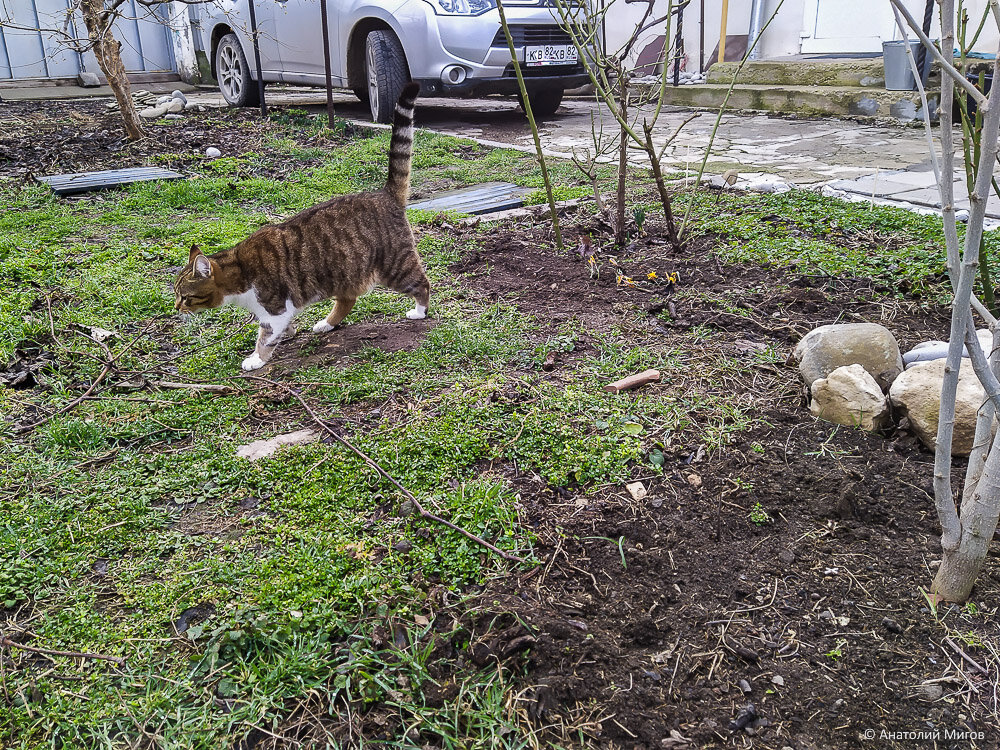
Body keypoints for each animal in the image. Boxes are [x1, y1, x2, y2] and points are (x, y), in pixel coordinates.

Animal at [174, 83, 428, 374]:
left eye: (185, 297)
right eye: (177, 295)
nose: (176, 308)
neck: (238, 269)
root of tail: (385, 195)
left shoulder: (275, 308)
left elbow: (265, 336)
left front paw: (257, 358)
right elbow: (277, 328)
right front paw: (288, 334)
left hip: (394, 265)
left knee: (422, 283)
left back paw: (419, 311)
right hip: (342, 271)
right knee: (347, 299)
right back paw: (327, 323)